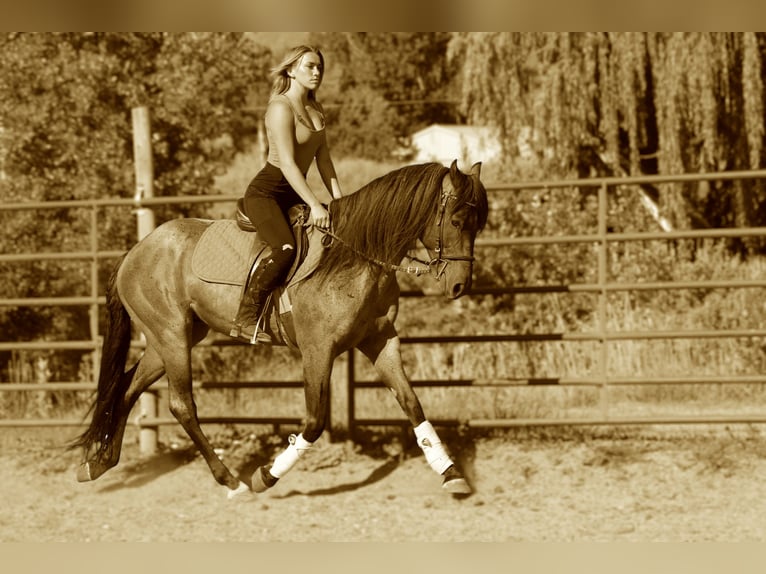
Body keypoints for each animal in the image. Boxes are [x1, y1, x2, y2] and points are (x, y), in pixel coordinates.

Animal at [69, 160, 489, 499]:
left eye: (478, 225)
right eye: (455, 221)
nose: (460, 286)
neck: (353, 257)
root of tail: (136, 251)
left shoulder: (380, 340)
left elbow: (412, 403)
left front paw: (452, 473)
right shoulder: (318, 350)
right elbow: (315, 422)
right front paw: (266, 476)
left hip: (170, 339)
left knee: (127, 386)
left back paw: (99, 461)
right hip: (171, 337)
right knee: (181, 405)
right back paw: (230, 481)